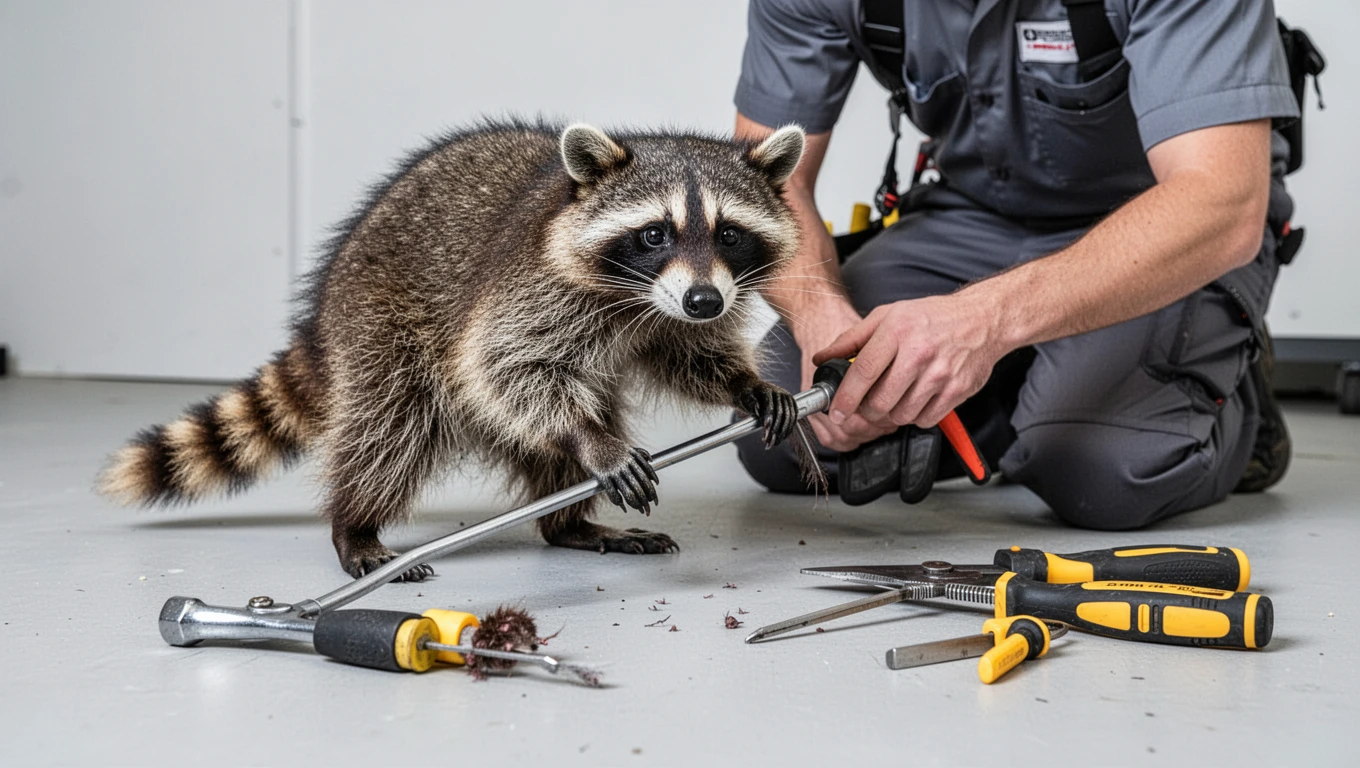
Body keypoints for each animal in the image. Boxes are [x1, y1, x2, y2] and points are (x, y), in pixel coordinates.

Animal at [98, 119, 808, 581]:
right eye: (655, 233)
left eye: (730, 233)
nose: (704, 302)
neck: (638, 298)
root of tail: (326, 302)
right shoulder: (532, 287)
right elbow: (504, 363)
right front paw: (596, 444)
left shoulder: (671, 310)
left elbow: (687, 355)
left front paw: (744, 383)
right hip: (382, 321)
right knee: (391, 426)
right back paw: (356, 523)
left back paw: (569, 521)